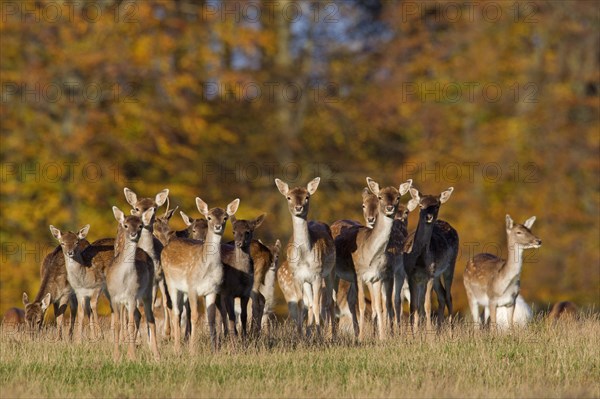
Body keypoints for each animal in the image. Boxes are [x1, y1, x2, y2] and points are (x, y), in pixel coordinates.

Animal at [106, 206, 159, 362]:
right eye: (125, 225)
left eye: (140, 225)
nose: (134, 234)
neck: (123, 281)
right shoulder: (113, 297)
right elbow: (117, 325)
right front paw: (116, 357)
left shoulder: (131, 295)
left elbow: (129, 325)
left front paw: (132, 357)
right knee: (138, 316)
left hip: (147, 292)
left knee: (150, 319)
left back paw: (157, 355)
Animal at [276, 178, 338, 338]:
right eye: (288, 197)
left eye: (307, 197)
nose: (298, 208)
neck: (304, 257)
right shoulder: (297, 277)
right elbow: (300, 305)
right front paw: (300, 336)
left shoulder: (317, 275)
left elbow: (317, 305)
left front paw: (319, 335)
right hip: (307, 281)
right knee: (309, 304)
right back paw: (309, 334)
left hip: (330, 271)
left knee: (329, 302)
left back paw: (331, 335)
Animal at [332, 180, 412, 340]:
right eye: (380, 197)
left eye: (398, 197)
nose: (389, 208)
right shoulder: (358, 274)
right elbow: (363, 305)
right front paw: (362, 338)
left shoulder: (377, 277)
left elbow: (379, 306)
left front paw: (382, 337)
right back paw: (331, 335)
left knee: (349, 302)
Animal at [400, 188, 458, 332]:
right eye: (421, 205)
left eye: (436, 205)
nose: (428, 217)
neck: (420, 260)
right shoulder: (411, 275)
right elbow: (414, 305)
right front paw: (413, 333)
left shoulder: (429, 275)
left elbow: (427, 305)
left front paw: (429, 332)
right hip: (436, 274)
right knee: (441, 296)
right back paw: (439, 331)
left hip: (450, 264)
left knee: (448, 296)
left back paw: (450, 332)